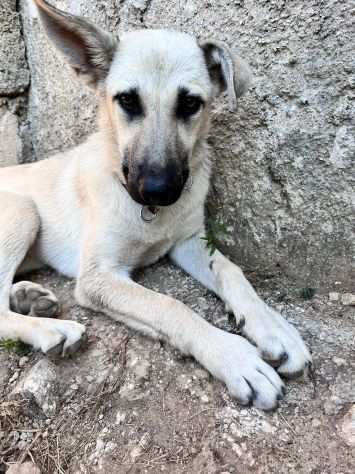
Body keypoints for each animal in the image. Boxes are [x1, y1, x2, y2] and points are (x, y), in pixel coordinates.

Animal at [0, 0, 312, 410]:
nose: (158, 190)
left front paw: (272, 325)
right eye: (127, 101)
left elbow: (232, 271)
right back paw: (50, 329)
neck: (151, 216)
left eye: (191, 103)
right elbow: (170, 305)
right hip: (22, 211)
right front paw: (235, 357)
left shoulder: (189, 241)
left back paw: (30, 297)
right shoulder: (98, 278)